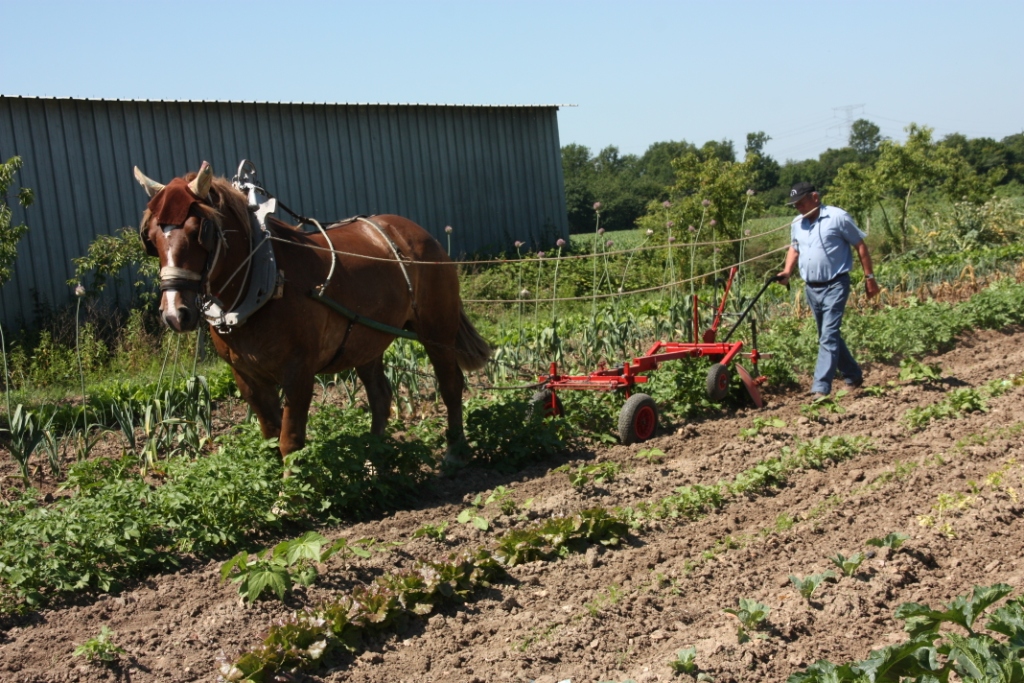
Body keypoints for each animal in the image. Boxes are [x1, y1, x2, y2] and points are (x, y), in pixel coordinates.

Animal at [132, 161, 491, 464]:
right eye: (150, 238)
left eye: (200, 231)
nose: (175, 314)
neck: (265, 279)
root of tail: (419, 233)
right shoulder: (247, 378)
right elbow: (270, 435)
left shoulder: (299, 372)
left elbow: (290, 440)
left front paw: (290, 497)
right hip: (365, 341)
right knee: (380, 396)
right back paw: (374, 460)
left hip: (436, 330)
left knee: (450, 384)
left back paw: (455, 450)